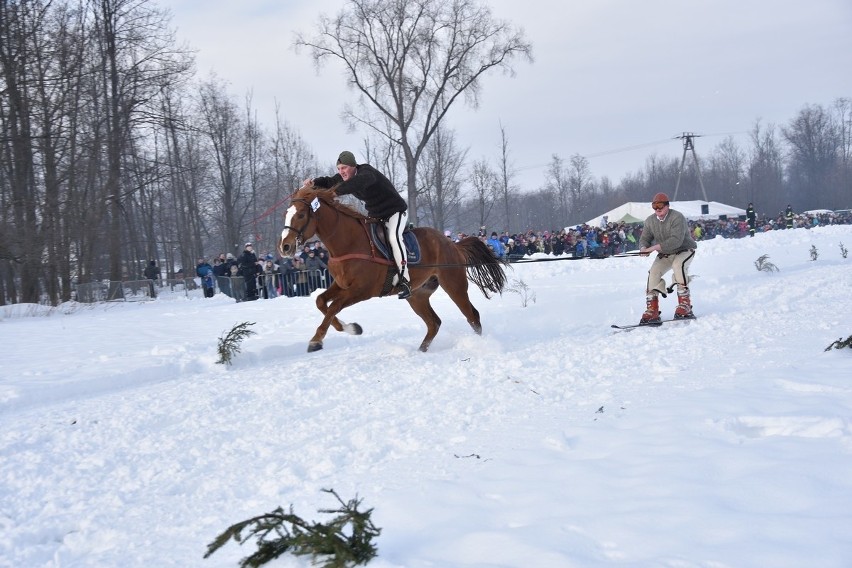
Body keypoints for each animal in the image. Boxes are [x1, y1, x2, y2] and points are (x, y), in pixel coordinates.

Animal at [278, 184, 506, 352]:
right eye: (286, 214)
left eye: (300, 215)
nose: (284, 247)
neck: (349, 243)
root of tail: (453, 244)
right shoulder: (341, 285)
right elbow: (321, 301)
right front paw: (350, 328)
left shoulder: (361, 290)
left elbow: (333, 307)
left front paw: (317, 340)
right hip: (417, 295)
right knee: (434, 323)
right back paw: (421, 350)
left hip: (454, 285)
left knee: (472, 316)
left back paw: (480, 345)